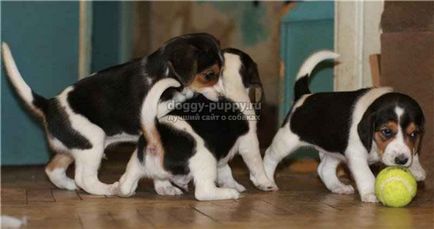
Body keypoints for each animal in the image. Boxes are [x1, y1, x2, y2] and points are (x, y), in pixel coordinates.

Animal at [3, 33, 225, 196]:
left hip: (76, 146)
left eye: (222, 73)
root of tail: (49, 104)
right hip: (93, 140)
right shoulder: (152, 127)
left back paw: (69, 185)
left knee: (52, 168)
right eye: (209, 75)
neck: (165, 74)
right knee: (84, 178)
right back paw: (108, 189)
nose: (223, 97)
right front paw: (164, 186)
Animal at [116, 48, 278, 200]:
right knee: (203, 192)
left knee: (125, 186)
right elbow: (257, 165)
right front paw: (266, 183)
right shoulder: (249, 141)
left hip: (136, 165)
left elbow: (226, 172)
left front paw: (234, 185)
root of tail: (155, 140)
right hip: (206, 158)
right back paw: (229, 193)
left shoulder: (220, 152)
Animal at [262, 50, 426, 202]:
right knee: (269, 156)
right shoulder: (356, 155)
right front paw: (371, 193)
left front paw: (416, 168)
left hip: (333, 149)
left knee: (323, 169)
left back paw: (338, 187)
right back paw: (266, 181)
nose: (401, 160)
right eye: (386, 131)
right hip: (286, 141)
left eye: (413, 134)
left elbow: (413, 152)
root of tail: (305, 96)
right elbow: (366, 175)